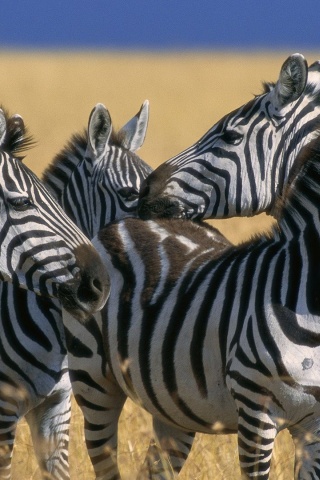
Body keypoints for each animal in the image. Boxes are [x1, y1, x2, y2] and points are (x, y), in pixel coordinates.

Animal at [68, 128, 320, 480]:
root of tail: (122, 220)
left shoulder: (314, 425)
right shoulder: (256, 412)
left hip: (170, 403)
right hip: (93, 378)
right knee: (104, 461)